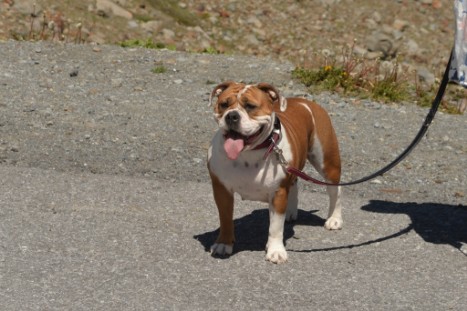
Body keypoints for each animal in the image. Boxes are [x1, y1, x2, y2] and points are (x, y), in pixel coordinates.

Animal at [208, 81, 344, 264]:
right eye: (224, 104)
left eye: (250, 106)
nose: (232, 116)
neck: (249, 153)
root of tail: (307, 102)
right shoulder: (222, 191)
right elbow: (225, 219)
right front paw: (223, 243)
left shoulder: (278, 193)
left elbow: (275, 227)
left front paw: (275, 251)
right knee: (294, 184)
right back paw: (291, 212)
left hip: (327, 164)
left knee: (335, 191)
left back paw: (334, 219)